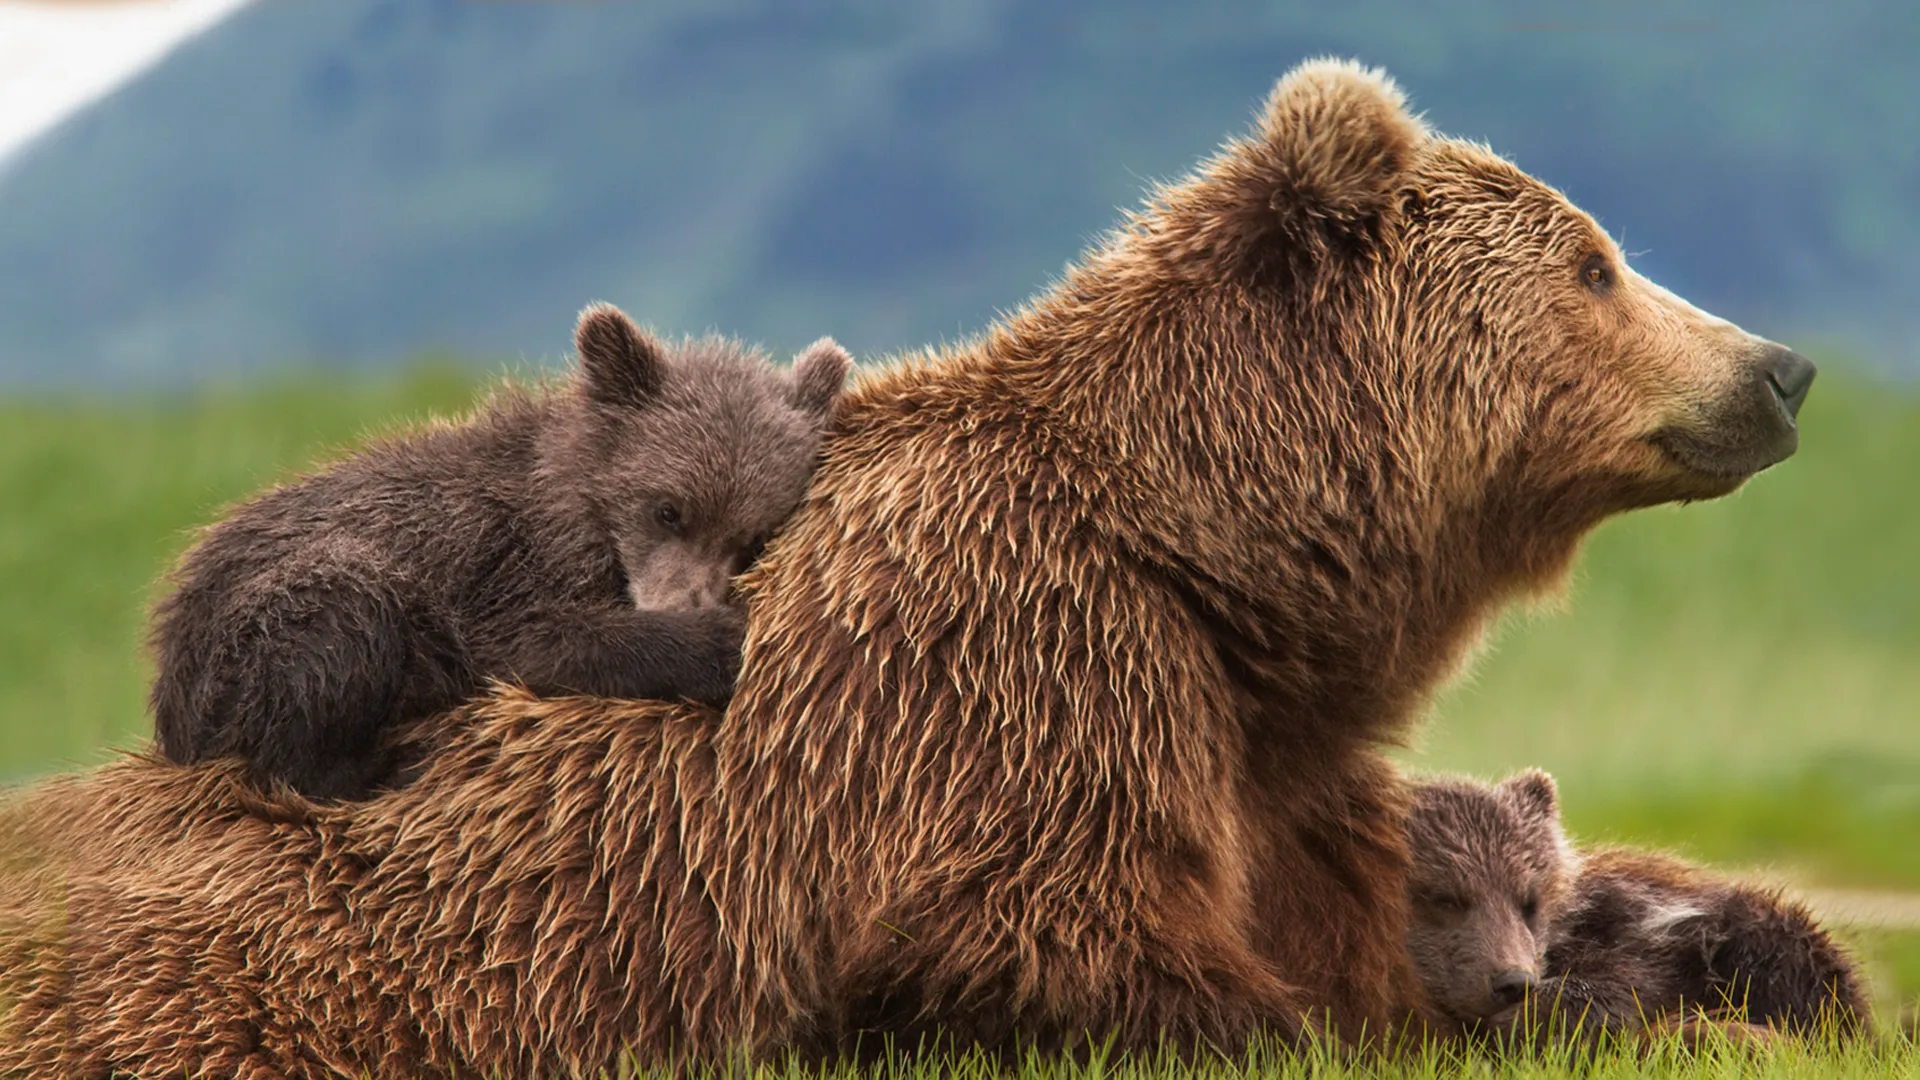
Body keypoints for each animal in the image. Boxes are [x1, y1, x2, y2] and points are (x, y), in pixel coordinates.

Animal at [147, 302, 852, 800]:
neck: (577, 505)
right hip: (257, 633)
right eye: (669, 508)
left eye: (751, 537)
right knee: (339, 623)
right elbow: (537, 643)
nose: (687, 603)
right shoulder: (500, 568)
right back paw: (388, 762)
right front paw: (719, 641)